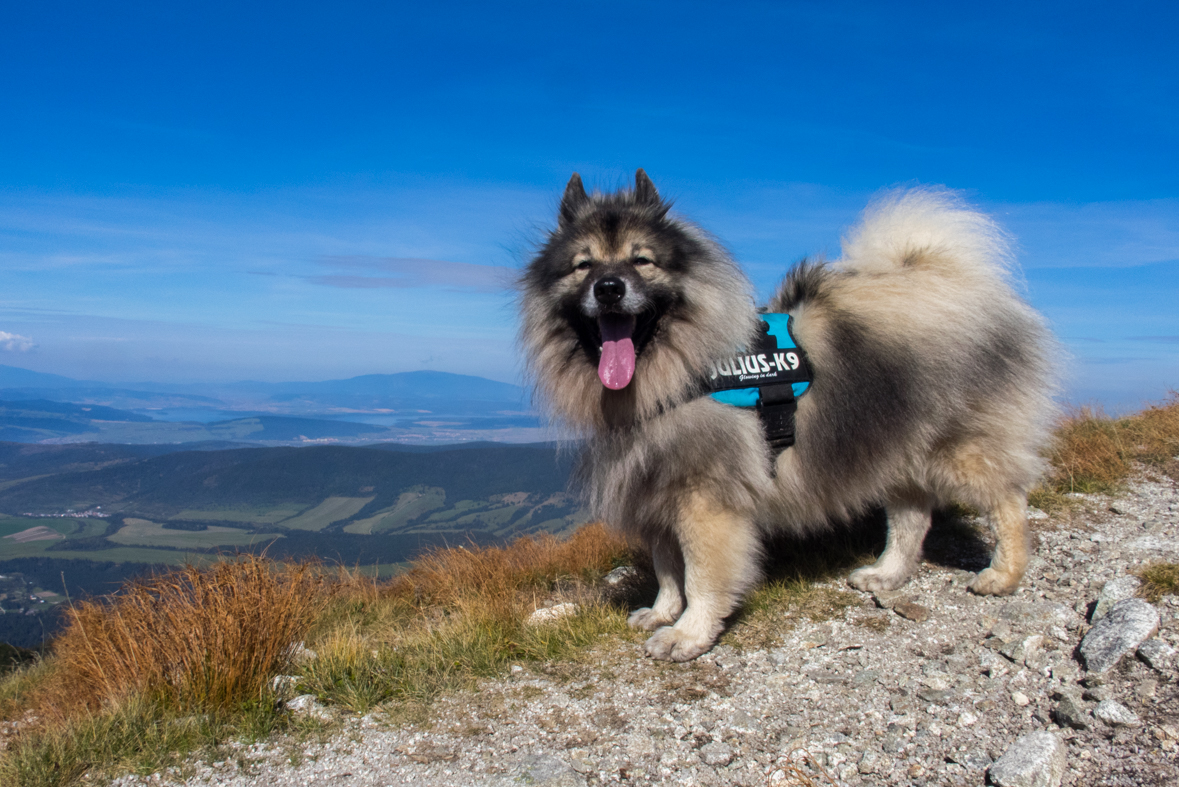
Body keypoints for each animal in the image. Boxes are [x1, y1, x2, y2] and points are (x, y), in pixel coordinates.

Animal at [521, 169, 1056, 659]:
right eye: (583, 266)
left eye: (641, 260)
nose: (609, 288)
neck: (679, 371)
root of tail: (940, 275)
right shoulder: (657, 489)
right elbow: (667, 567)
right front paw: (662, 611)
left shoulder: (705, 499)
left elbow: (701, 575)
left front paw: (688, 632)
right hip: (896, 446)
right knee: (911, 518)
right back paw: (886, 574)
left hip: (958, 447)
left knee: (1007, 501)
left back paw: (1003, 574)